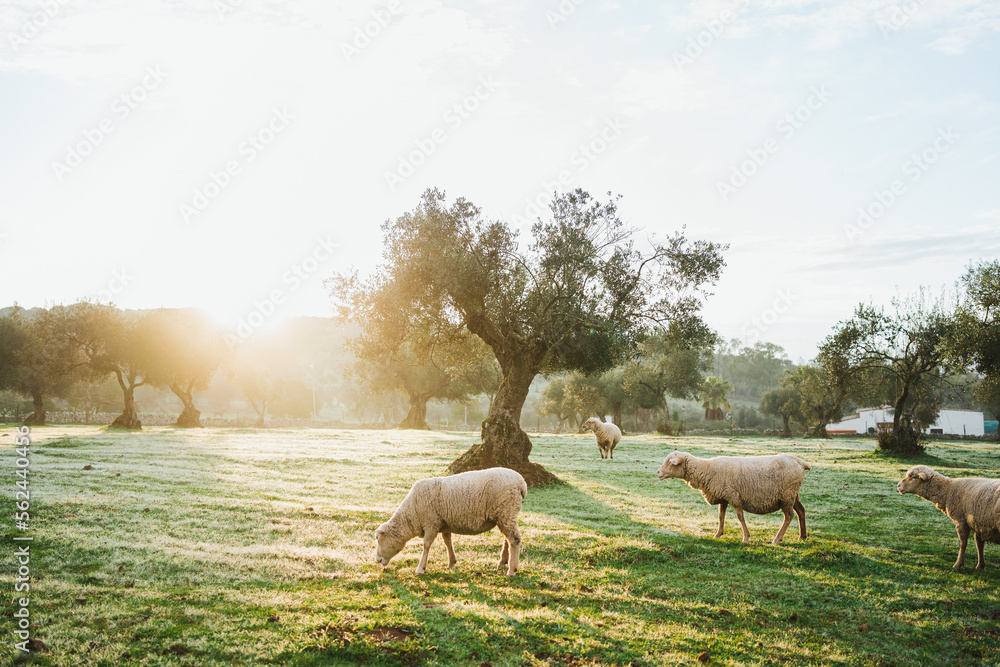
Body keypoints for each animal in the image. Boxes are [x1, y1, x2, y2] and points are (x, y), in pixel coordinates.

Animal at [374, 467, 527, 576]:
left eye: (378, 538)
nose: (377, 560)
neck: (410, 514)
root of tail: (521, 483)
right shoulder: (443, 523)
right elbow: (447, 541)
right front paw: (452, 563)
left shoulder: (431, 522)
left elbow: (426, 545)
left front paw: (420, 568)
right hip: (503, 516)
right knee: (507, 538)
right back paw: (502, 562)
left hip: (506, 511)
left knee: (514, 539)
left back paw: (511, 570)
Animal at [656, 450, 811, 544]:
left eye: (670, 462)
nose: (658, 472)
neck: (706, 469)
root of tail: (800, 462)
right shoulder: (723, 497)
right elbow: (721, 516)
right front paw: (718, 534)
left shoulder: (734, 496)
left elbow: (740, 517)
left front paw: (746, 538)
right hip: (792, 495)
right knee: (801, 511)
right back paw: (802, 536)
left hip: (787, 495)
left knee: (789, 515)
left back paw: (777, 538)